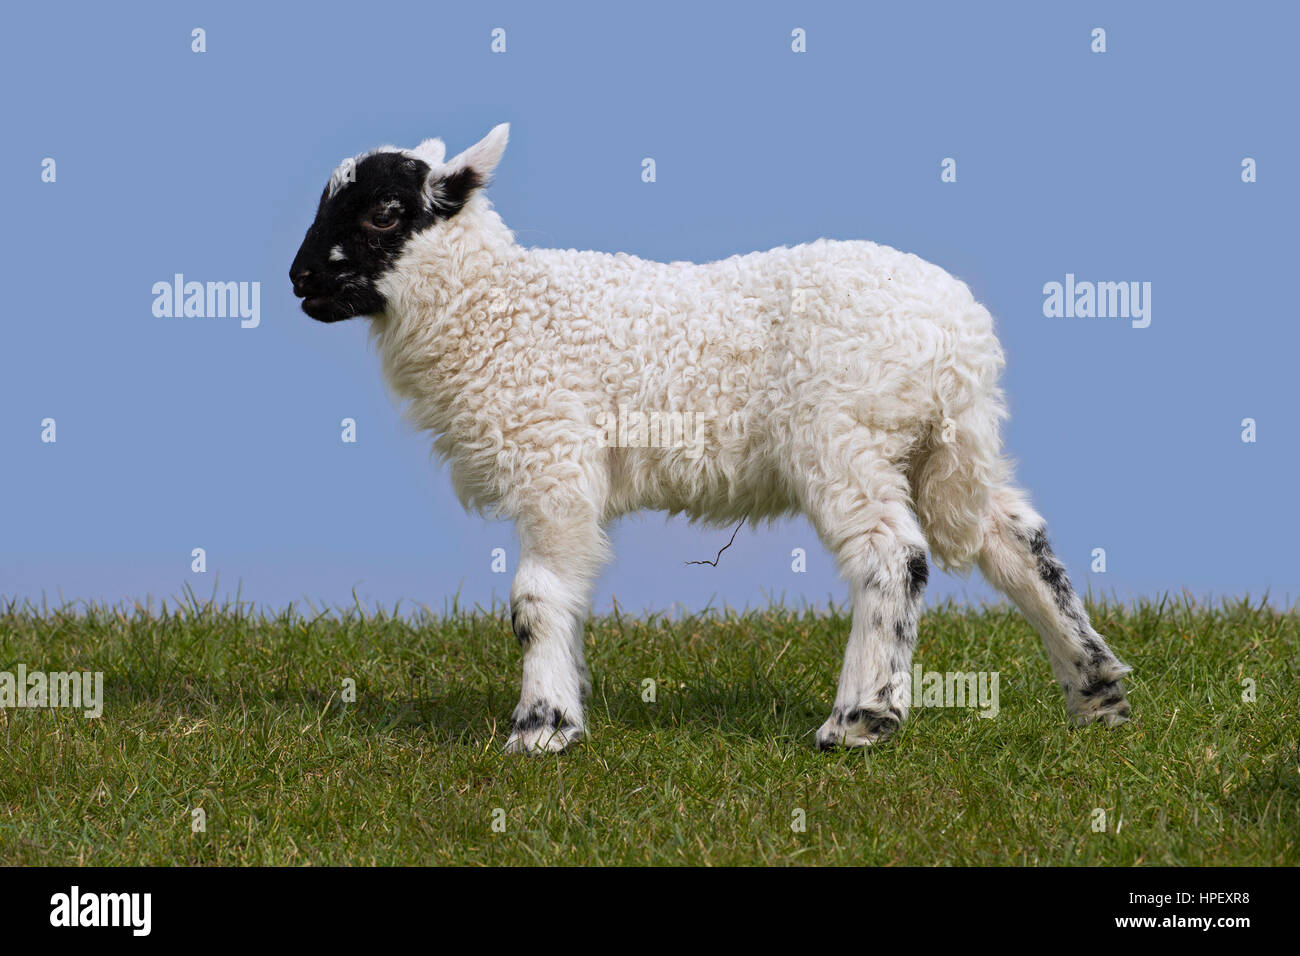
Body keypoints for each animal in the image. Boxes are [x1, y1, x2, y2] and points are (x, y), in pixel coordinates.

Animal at [287, 123, 1128, 754]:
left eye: (384, 213)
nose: (298, 281)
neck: (496, 309)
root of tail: (961, 338)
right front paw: (563, 708)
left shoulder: (553, 458)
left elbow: (536, 598)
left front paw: (542, 728)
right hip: (941, 444)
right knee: (1012, 536)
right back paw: (1097, 695)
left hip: (845, 435)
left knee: (894, 555)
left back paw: (859, 721)